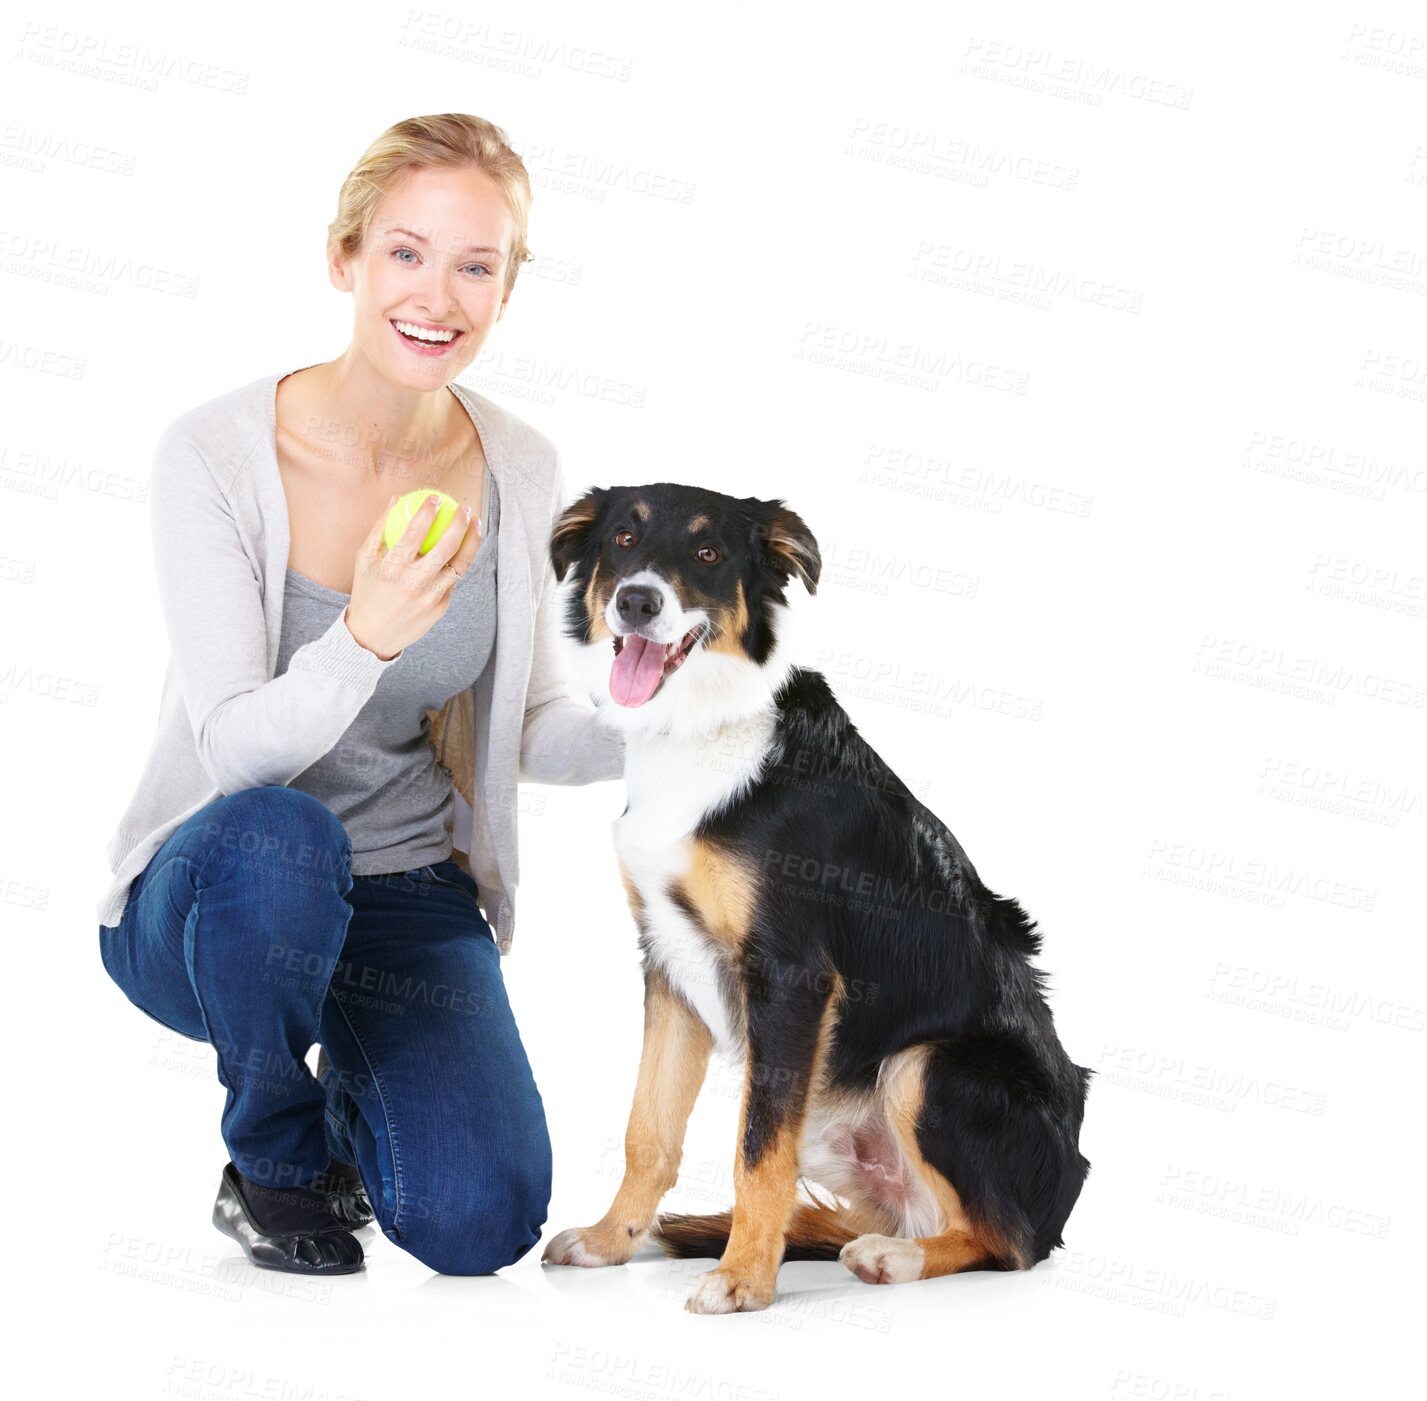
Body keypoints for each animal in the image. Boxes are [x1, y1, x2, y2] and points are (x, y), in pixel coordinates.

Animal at [536, 485, 1090, 1318]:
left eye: (707, 552)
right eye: (623, 540)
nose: (637, 600)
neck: (700, 727)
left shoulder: (790, 974)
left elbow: (757, 1146)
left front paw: (743, 1277)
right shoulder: (667, 960)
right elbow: (648, 1131)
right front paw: (612, 1240)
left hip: (924, 1065)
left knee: (1006, 1239)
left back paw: (893, 1257)